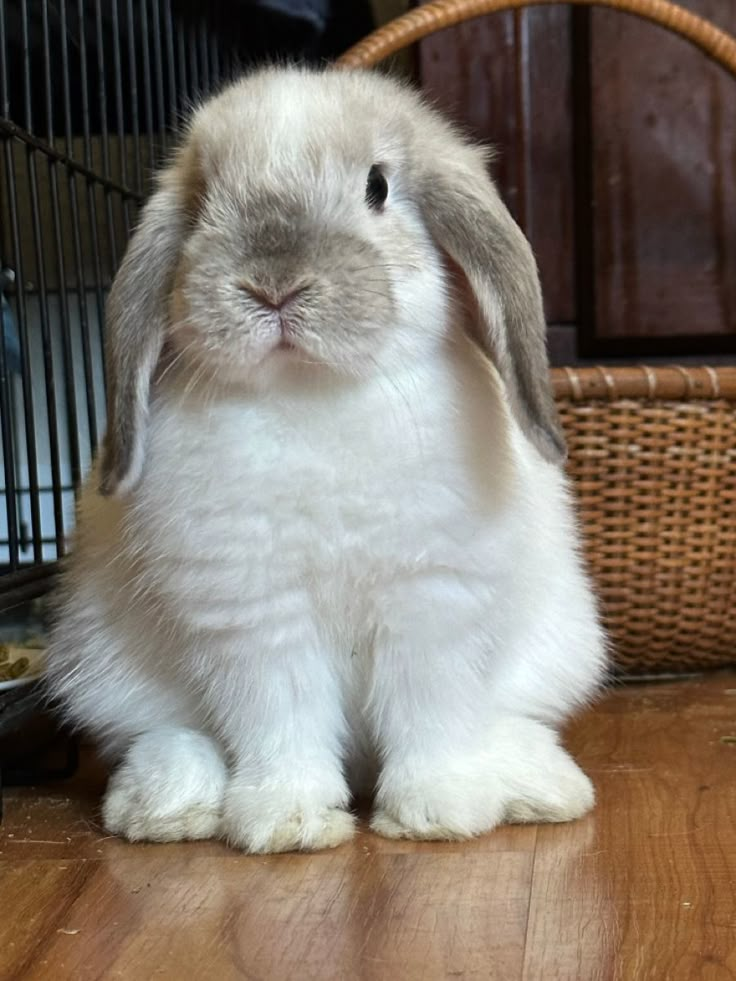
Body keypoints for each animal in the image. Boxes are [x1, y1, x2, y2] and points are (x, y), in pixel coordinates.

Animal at [47, 65, 608, 852]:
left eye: (378, 186)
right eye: (203, 201)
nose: (272, 284)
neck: (311, 393)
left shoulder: (430, 606)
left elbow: (430, 715)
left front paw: (437, 814)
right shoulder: (254, 619)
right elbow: (281, 721)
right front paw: (289, 822)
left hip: (558, 647)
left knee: (504, 722)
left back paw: (541, 789)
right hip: (103, 671)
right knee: (166, 736)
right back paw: (166, 807)